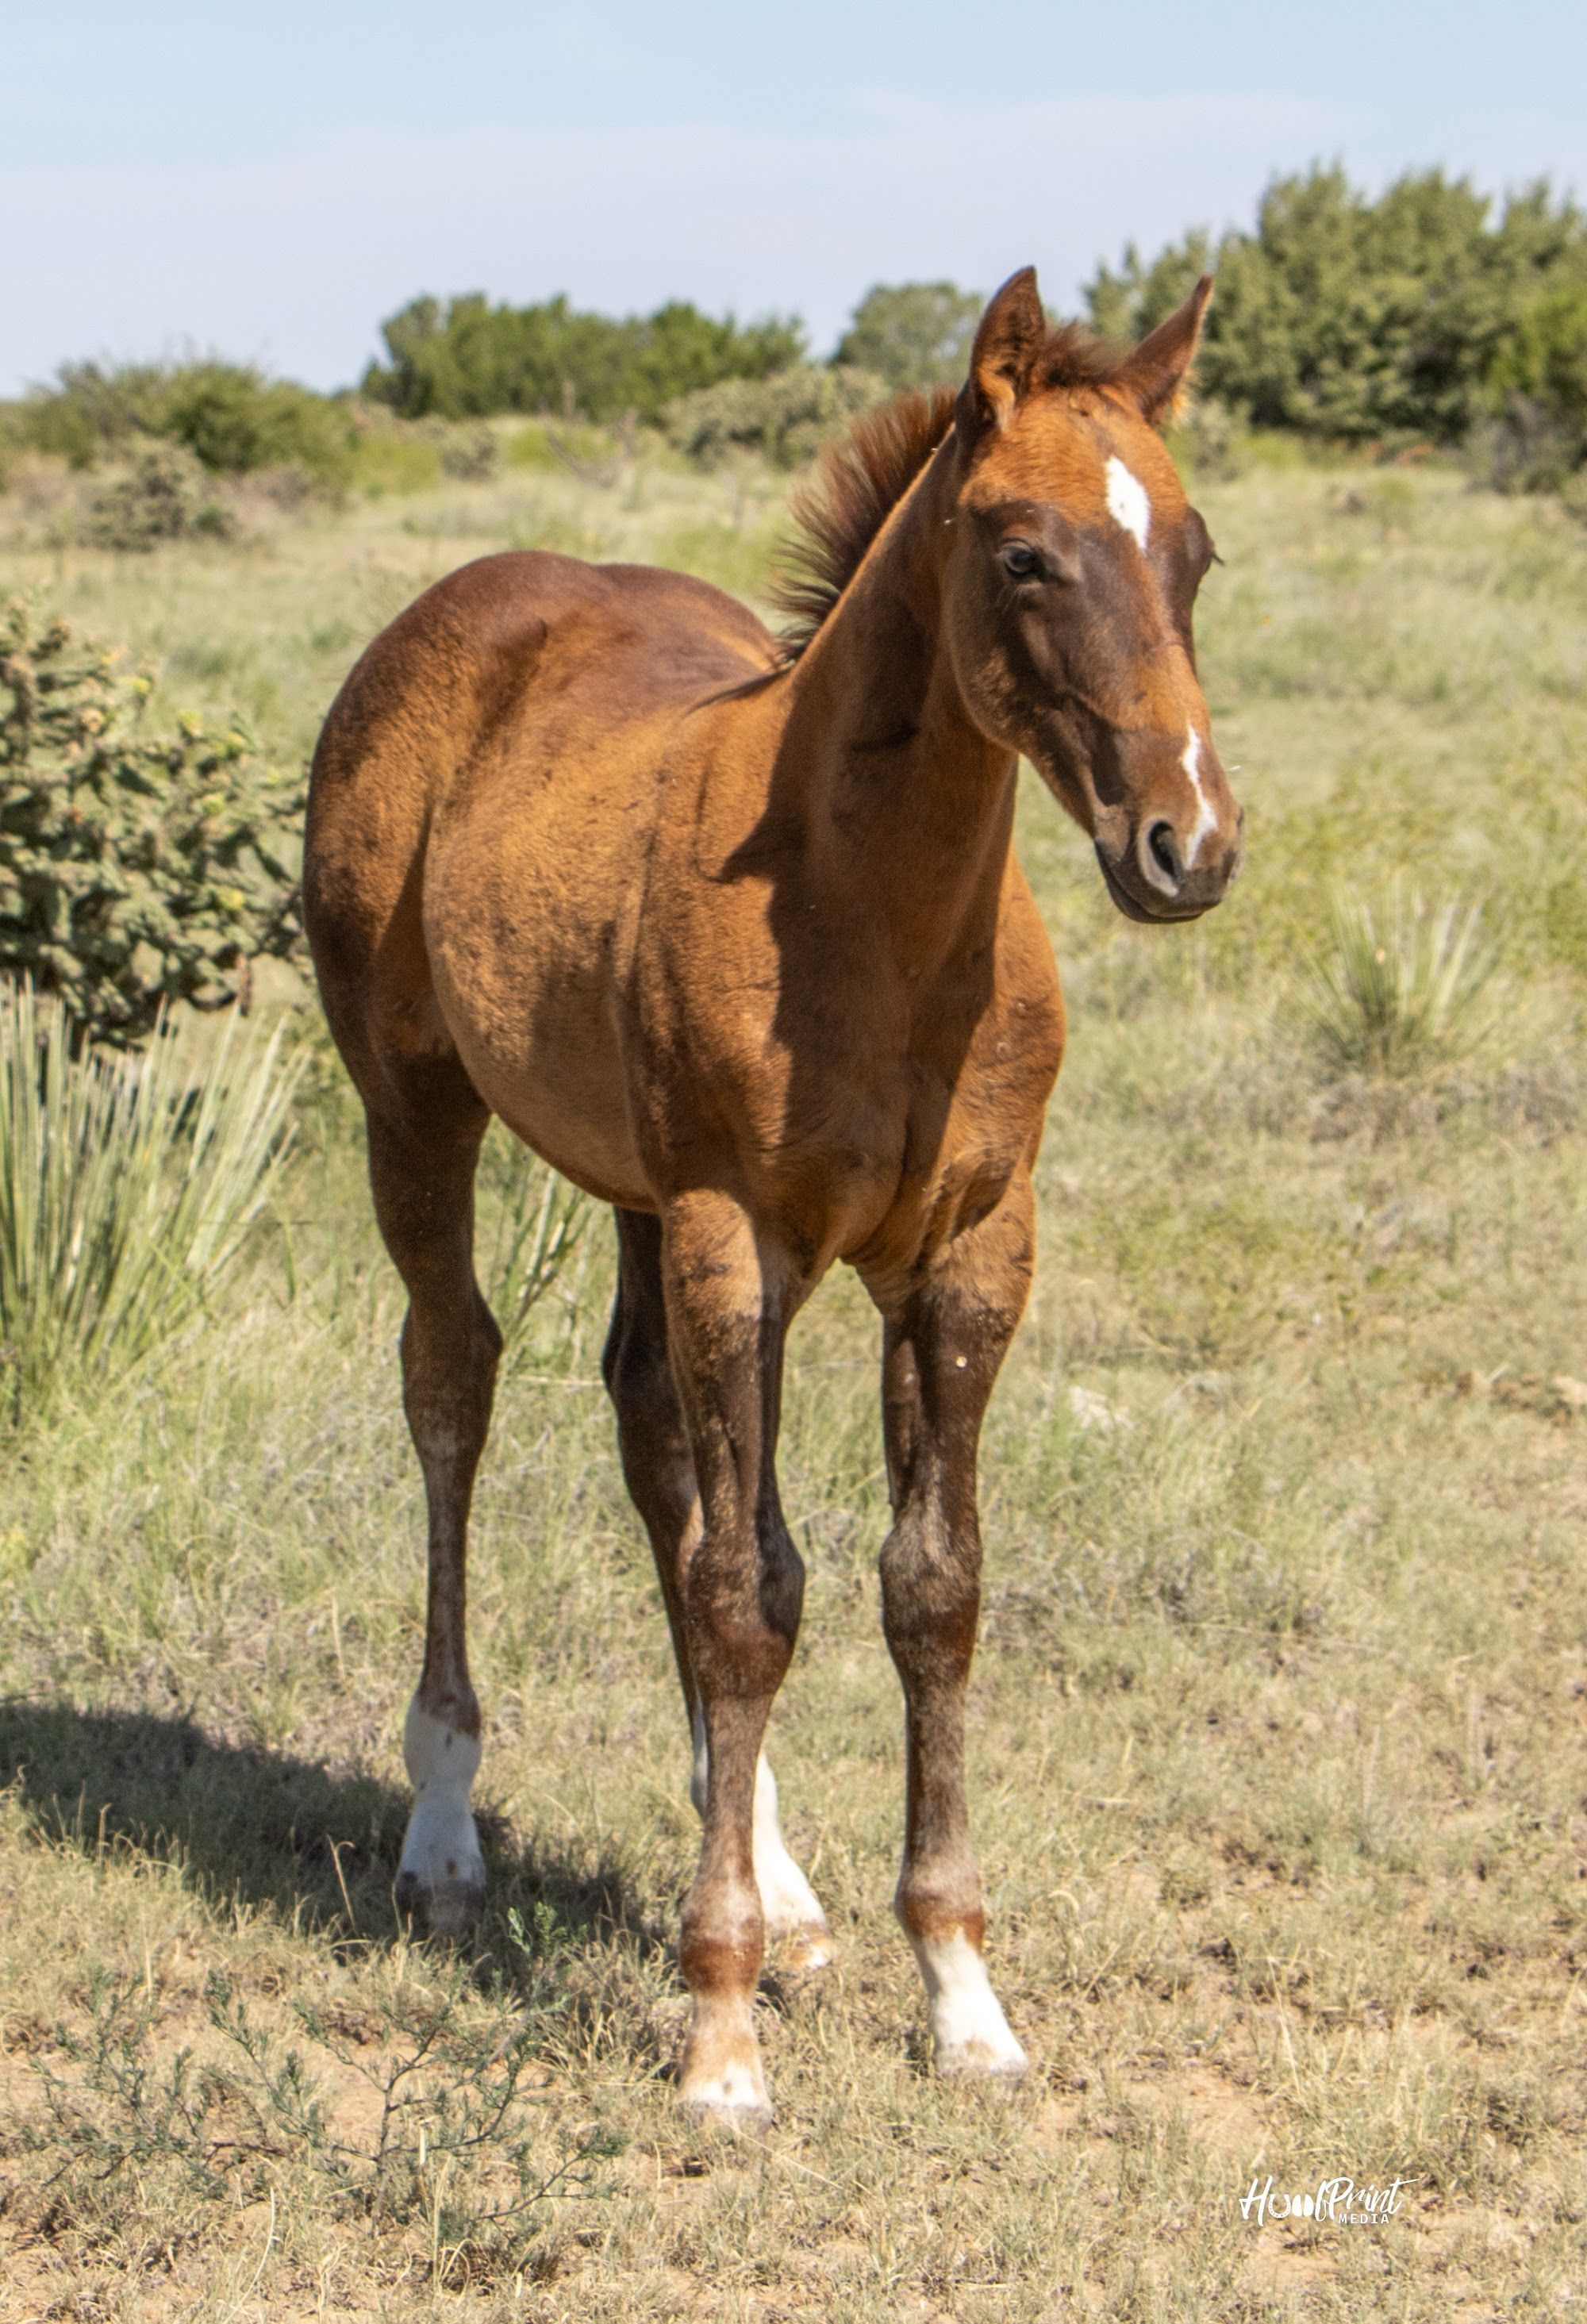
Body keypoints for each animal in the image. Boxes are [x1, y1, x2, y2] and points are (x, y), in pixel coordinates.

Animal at [303, 266, 1243, 2119]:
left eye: (1193, 549)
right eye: (1022, 552)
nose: (1188, 844)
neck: (867, 915)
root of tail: (466, 604)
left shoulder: (967, 1250)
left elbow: (924, 1588)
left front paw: (960, 1995)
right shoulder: (742, 1235)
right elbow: (757, 1593)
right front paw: (719, 2031)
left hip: (631, 1184)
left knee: (650, 1433)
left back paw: (779, 1873)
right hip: (419, 1113)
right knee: (452, 1386)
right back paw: (445, 1822)